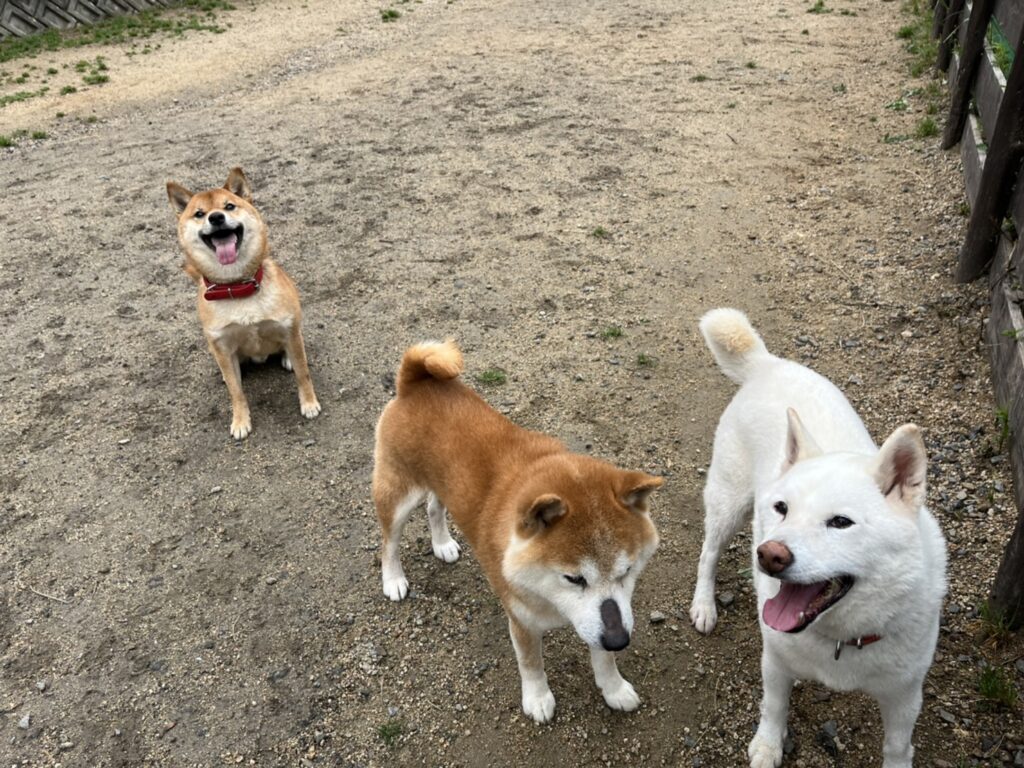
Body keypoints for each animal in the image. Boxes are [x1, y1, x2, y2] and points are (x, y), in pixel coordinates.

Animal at [166, 168, 321, 439]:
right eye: (199, 214)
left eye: (229, 206)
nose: (216, 218)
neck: (238, 287)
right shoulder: (222, 346)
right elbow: (236, 392)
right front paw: (240, 421)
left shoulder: (288, 328)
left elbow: (303, 373)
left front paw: (309, 403)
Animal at [373, 340, 664, 723]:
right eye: (573, 578)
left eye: (627, 571)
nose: (619, 640)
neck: (550, 599)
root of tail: (413, 381)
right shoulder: (522, 620)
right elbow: (531, 663)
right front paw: (538, 699)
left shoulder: (603, 618)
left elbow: (603, 655)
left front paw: (614, 688)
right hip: (397, 494)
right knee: (389, 541)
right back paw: (393, 579)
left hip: (441, 484)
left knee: (435, 508)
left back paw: (443, 543)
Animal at [688, 309, 946, 768]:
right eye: (781, 508)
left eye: (841, 522)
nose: (768, 555)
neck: (844, 638)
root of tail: (767, 364)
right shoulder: (775, 661)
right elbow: (774, 707)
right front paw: (768, 747)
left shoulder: (904, 694)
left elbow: (898, 745)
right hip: (729, 503)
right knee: (708, 554)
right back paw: (704, 605)